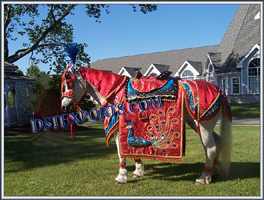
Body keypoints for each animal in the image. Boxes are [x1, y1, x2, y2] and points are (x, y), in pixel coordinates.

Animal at [60, 67, 231, 184]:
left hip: (203, 125)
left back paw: (203, 177)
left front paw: (121, 177)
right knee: (217, 142)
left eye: (68, 83)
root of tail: (220, 91)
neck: (115, 93)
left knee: (210, 148)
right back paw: (214, 171)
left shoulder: (119, 130)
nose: (64, 106)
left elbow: (121, 153)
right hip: (198, 123)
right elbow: (132, 149)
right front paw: (138, 171)